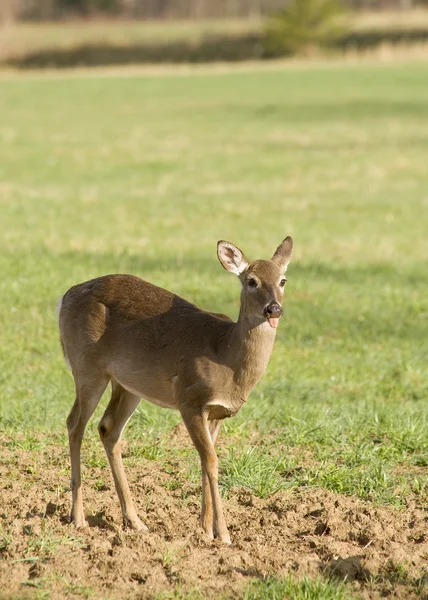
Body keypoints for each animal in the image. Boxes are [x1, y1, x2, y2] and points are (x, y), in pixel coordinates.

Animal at [58, 237, 292, 548]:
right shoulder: (189, 400)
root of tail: (65, 295)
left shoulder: (216, 413)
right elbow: (212, 462)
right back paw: (79, 518)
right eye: (251, 280)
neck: (227, 357)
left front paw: (205, 529)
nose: (273, 309)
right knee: (75, 423)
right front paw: (223, 535)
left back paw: (135, 521)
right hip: (87, 365)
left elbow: (206, 462)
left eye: (283, 280)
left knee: (108, 429)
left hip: (128, 383)